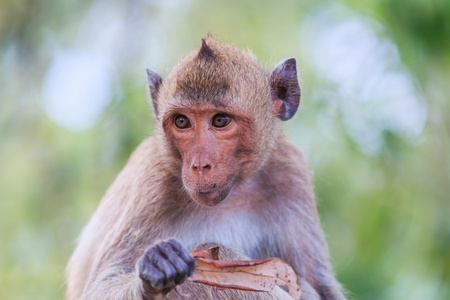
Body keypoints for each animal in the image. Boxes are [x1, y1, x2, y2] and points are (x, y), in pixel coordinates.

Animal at [65, 35, 346, 300]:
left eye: (220, 120)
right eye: (181, 121)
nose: (200, 165)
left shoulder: (291, 172)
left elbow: (321, 285)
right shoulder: (151, 181)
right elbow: (101, 286)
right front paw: (156, 267)